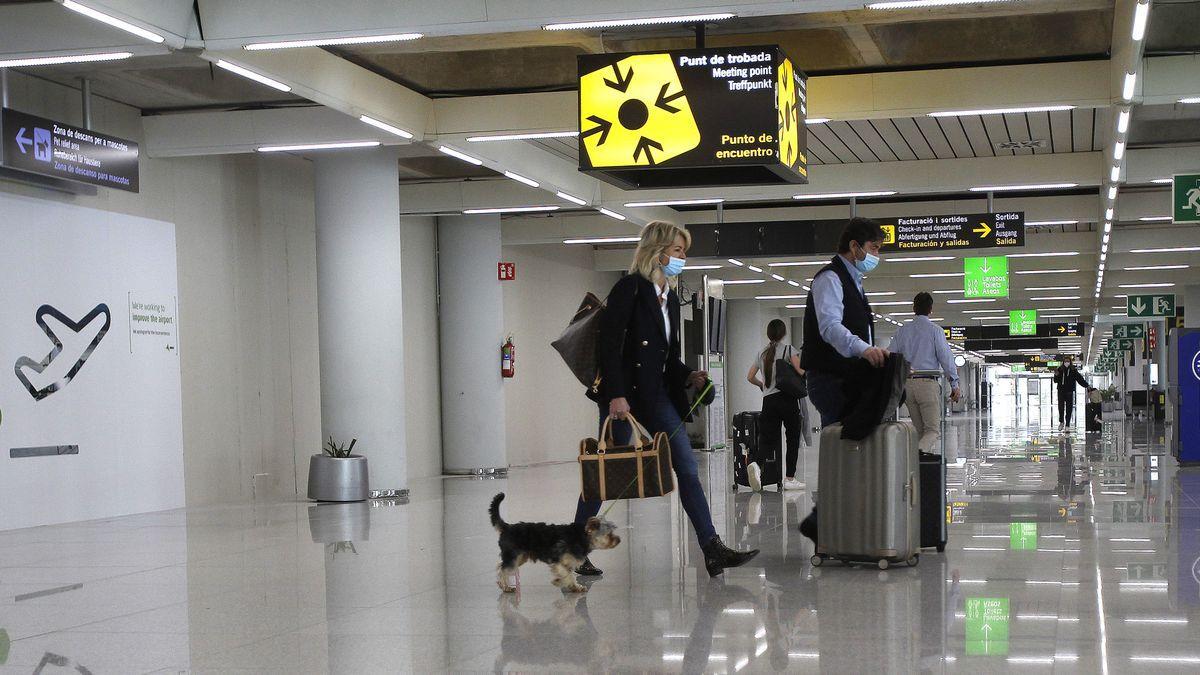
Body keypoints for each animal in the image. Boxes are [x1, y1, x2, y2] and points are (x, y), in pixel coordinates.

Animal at [489, 492, 624, 590]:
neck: (582, 536)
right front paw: (564, 584)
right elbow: (567, 574)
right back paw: (505, 586)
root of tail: (507, 527)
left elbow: (567, 574)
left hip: (520, 557)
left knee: (501, 566)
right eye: (608, 534)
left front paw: (571, 585)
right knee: (503, 570)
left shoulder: (567, 563)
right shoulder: (558, 562)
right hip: (513, 555)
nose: (618, 540)